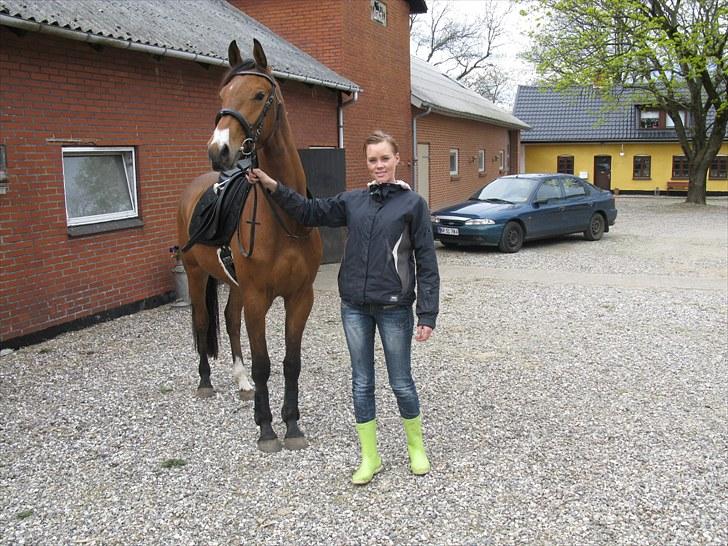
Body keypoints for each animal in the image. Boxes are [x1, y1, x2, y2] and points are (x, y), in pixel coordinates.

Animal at [176, 39, 322, 450]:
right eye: (222, 95)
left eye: (259, 94)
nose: (218, 149)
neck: (286, 216)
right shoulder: (258, 297)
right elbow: (264, 364)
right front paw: (267, 427)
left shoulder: (300, 297)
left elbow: (290, 363)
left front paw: (292, 424)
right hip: (197, 275)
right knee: (203, 322)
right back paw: (205, 382)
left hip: (235, 285)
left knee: (228, 320)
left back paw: (240, 382)